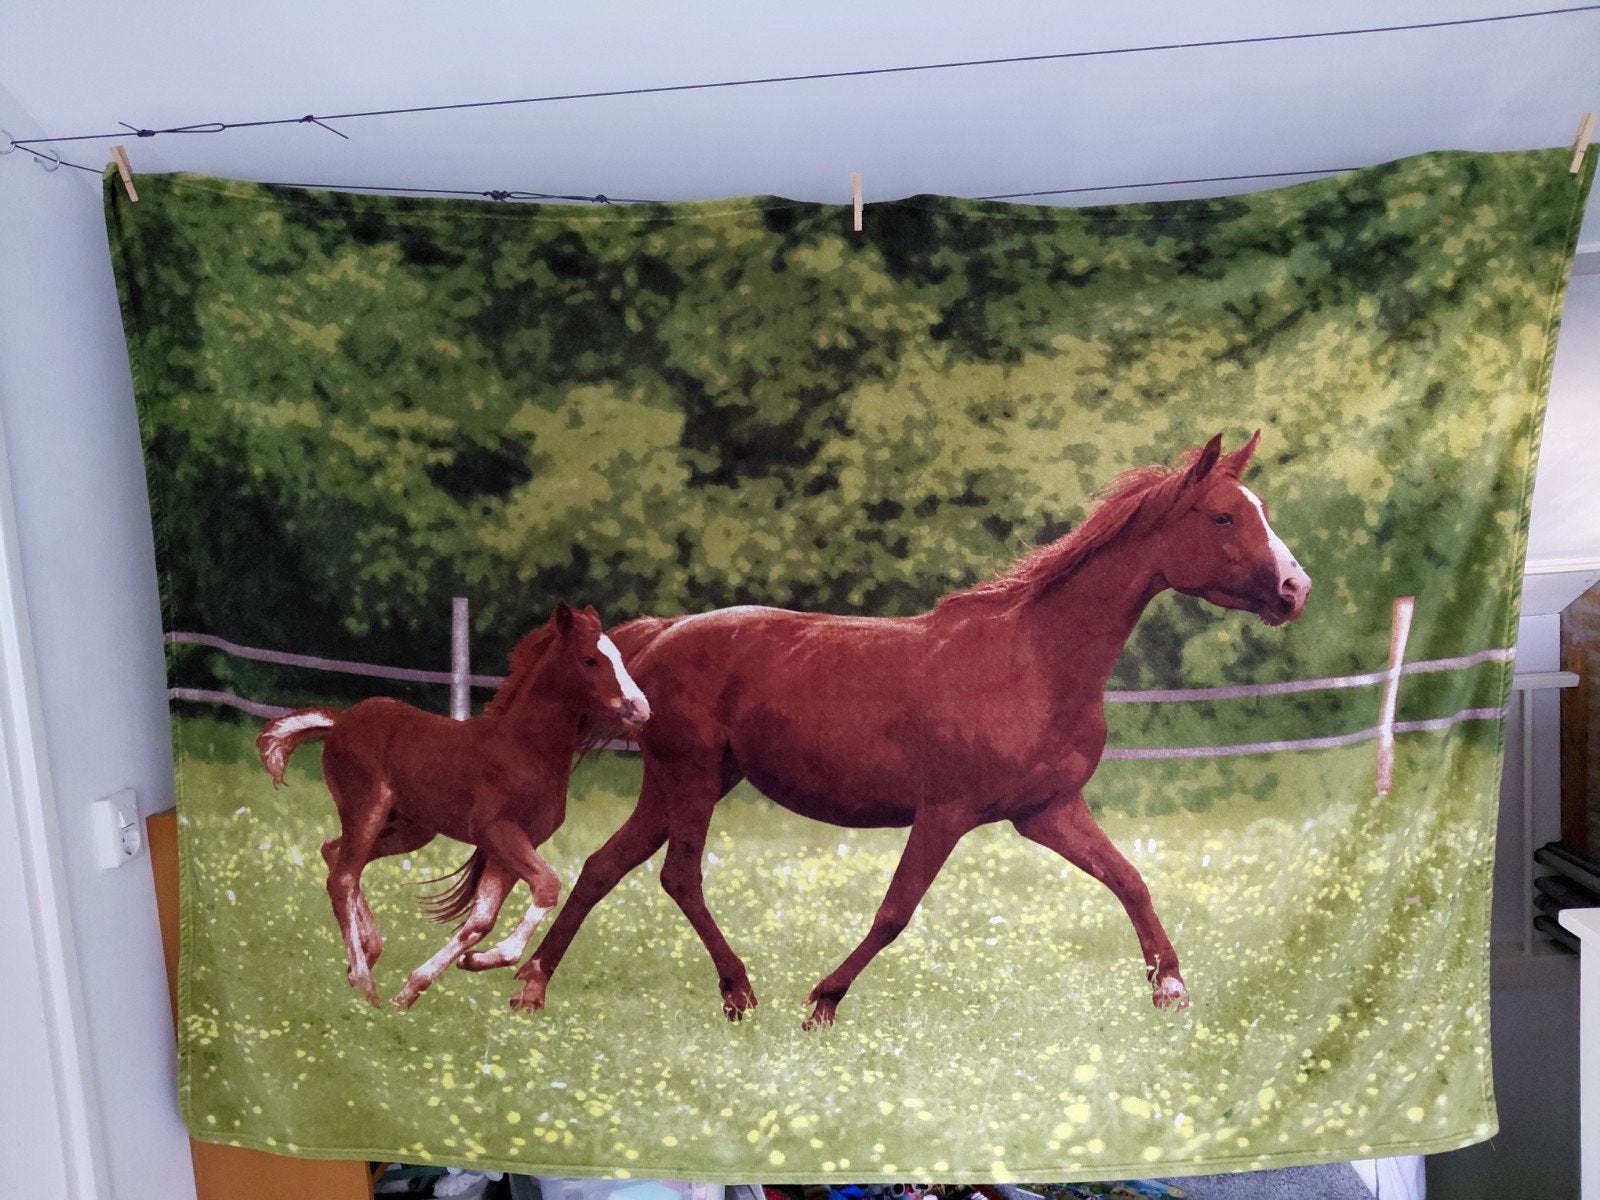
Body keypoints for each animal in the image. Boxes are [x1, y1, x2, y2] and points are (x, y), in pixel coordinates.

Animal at [254, 601, 649, 1010]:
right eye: (590, 659)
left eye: (620, 657)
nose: (640, 708)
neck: (524, 749)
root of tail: (340, 721)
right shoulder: (497, 831)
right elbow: (547, 885)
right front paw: (481, 960)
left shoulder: (514, 845)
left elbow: (481, 920)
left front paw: (424, 984)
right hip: (368, 808)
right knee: (343, 877)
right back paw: (365, 984)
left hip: (411, 829)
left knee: (334, 854)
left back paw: (367, 954)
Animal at [508, 432, 1310, 1028]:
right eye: (1223, 516)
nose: (1296, 589)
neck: (1036, 662)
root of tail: (658, 637)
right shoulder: (945, 812)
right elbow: (895, 911)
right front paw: (822, 1003)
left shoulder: (1047, 811)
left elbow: (1131, 879)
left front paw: (1169, 988)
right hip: (694, 776)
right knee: (678, 875)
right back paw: (737, 991)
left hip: (677, 781)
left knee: (604, 867)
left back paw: (533, 988)